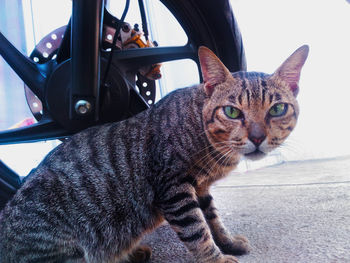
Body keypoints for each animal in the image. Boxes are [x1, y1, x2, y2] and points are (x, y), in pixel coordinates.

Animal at [0, 44, 308, 262]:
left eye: (277, 109)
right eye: (232, 112)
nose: (257, 137)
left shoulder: (200, 188)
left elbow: (213, 219)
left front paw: (227, 242)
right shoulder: (173, 188)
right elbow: (197, 230)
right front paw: (216, 259)